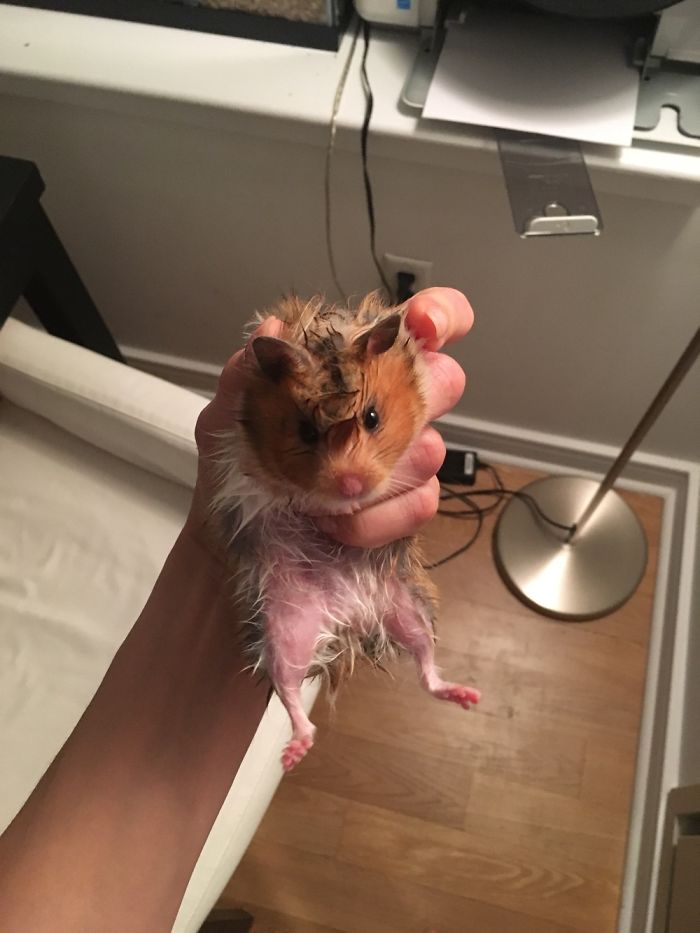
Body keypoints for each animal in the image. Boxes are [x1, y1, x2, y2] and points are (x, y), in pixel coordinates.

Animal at [213, 293, 480, 771]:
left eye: (372, 417)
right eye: (306, 431)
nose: (351, 487)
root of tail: (352, 621)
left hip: (410, 607)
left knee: (426, 666)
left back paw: (467, 696)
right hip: (282, 628)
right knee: (290, 692)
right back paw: (294, 753)